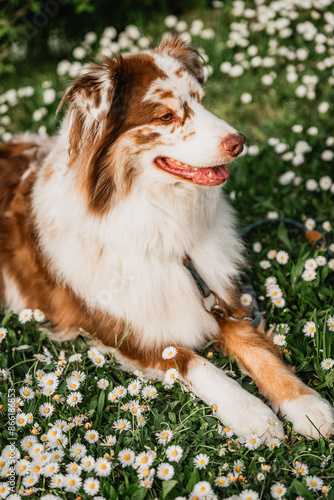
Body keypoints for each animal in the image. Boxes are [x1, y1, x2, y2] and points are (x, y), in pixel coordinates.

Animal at [0, 36, 332, 442]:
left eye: (201, 101)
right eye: (165, 116)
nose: (239, 142)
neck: (160, 224)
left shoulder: (218, 296)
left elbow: (259, 350)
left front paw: (306, 405)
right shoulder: (130, 333)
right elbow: (198, 363)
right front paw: (253, 415)